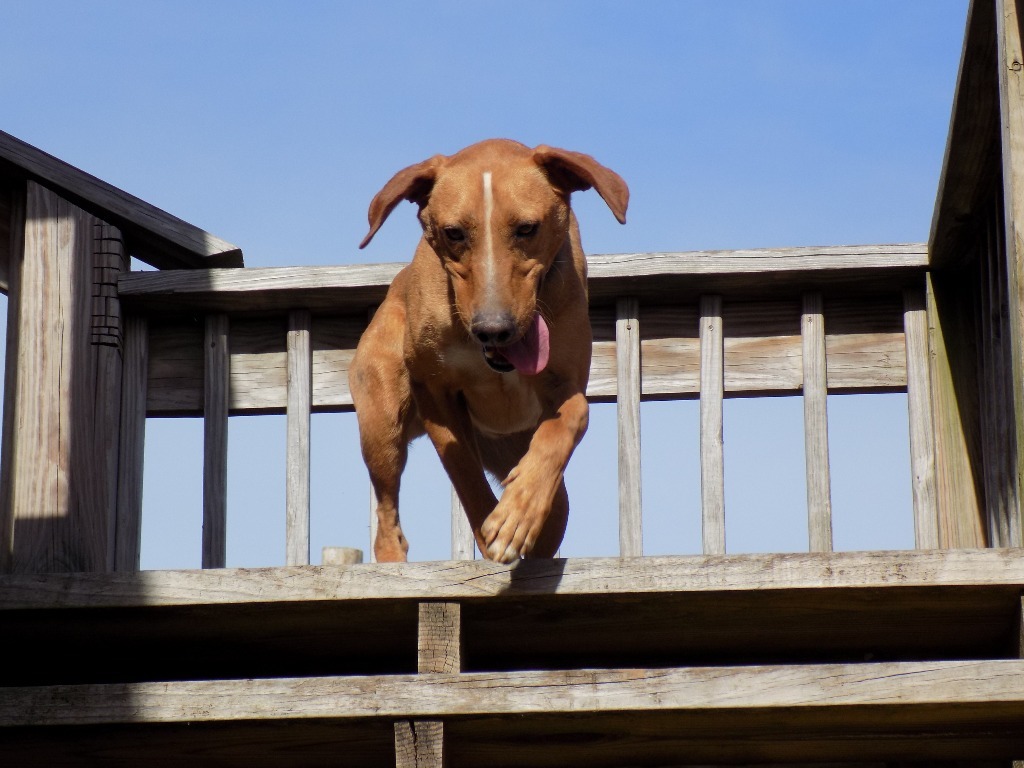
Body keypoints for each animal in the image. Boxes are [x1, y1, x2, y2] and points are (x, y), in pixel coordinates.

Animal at [350, 138, 622, 561]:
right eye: (453, 233)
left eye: (527, 228)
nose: (494, 330)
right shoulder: (434, 390)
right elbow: (464, 470)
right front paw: (495, 524)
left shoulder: (566, 382)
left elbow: (571, 417)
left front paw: (519, 511)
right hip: (382, 423)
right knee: (386, 516)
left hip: (519, 458)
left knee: (554, 512)